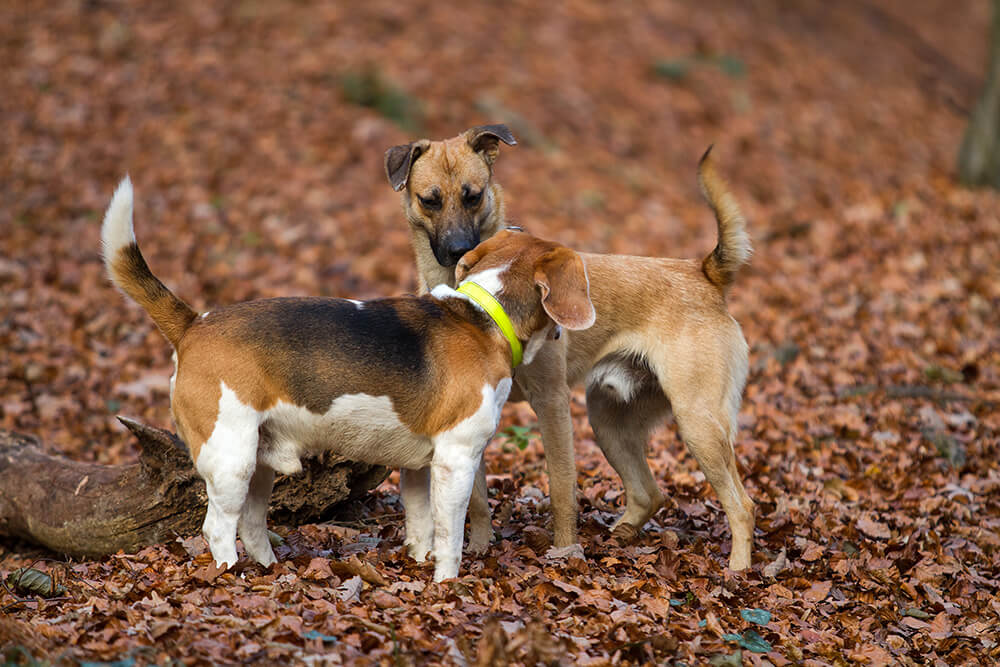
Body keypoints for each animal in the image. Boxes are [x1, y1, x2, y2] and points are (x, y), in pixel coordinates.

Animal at [101, 176, 592, 580]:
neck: (486, 312)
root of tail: (195, 323)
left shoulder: (419, 466)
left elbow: (420, 527)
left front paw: (418, 566)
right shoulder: (456, 459)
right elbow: (449, 535)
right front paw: (447, 584)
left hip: (259, 460)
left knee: (252, 524)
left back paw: (270, 572)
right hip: (230, 456)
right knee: (218, 527)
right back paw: (229, 575)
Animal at [386, 128, 752, 572]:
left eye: (474, 196)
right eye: (430, 199)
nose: (458, 248)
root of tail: (703, 274)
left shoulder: (552, 403)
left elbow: (561, 487)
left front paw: (564, 552)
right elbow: (476, 499)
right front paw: (479, 547)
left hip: (698, 424)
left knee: (743, 506)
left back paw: (738, 569)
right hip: (609, 422)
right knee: (649, 493)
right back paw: (622, 536)